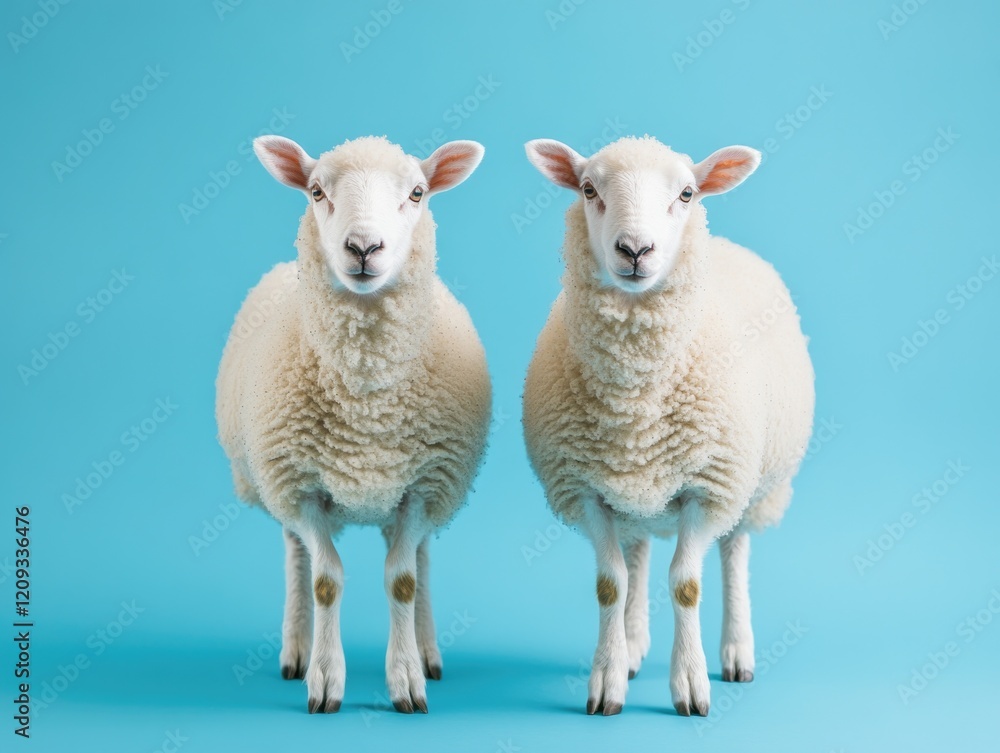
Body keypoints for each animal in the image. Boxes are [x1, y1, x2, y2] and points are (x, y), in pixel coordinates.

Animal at [216, 135, 491, 714]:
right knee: (295, 554)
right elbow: (326, 581)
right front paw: (325, 678)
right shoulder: (303, 488)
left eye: (418, 192)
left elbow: (403, 580)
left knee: (421, 556)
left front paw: (407, 677)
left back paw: (428, 652)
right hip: (275, 483)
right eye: (316, 191)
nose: (363, 247)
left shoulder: (420, 486)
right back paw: (295, 651)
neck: (366, 404)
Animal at [521, 135, 814, 717]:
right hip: (634, 491)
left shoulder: (708, 487)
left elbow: (686, 585)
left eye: (686, 193)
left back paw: (736, 652)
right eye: (588, 189)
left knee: (734, 554)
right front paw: (607, 680)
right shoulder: (587, 490)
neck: (636, 400)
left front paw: (691, 686)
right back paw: (633, 645)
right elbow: (610, 583)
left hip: (748, 486)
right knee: (636, 555)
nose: (635, 250)